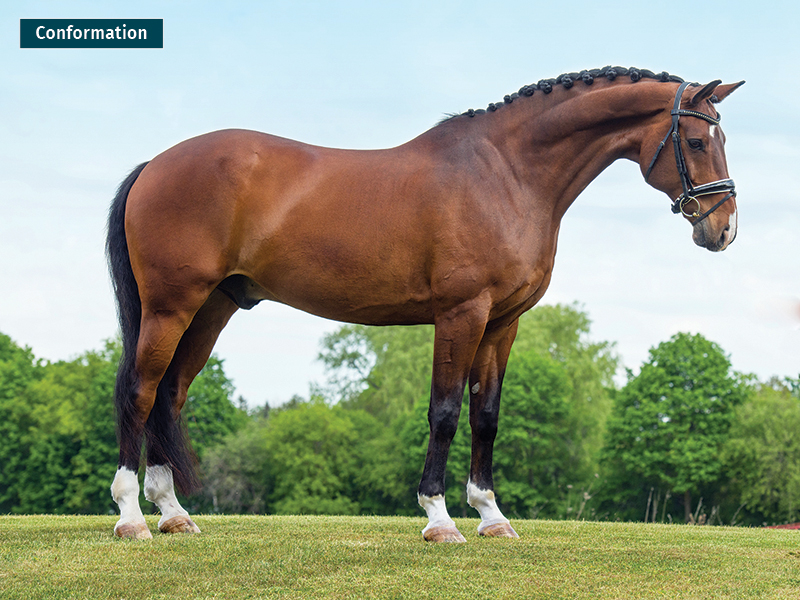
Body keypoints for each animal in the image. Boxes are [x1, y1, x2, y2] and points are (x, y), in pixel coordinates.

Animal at [106, 66, 744, 541]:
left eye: (722, 139)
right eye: (695, 141)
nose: (722, 229)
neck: (506, 174)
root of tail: (154, 165)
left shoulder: (503, 323)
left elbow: (487, 415)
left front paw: (491, 515)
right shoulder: (462, 314)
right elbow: (445, 411)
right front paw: (440, 518)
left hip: (210, 309)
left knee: (170, 393)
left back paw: (173, 513)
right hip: (171, 307)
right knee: (140, 391)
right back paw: (132, 515)